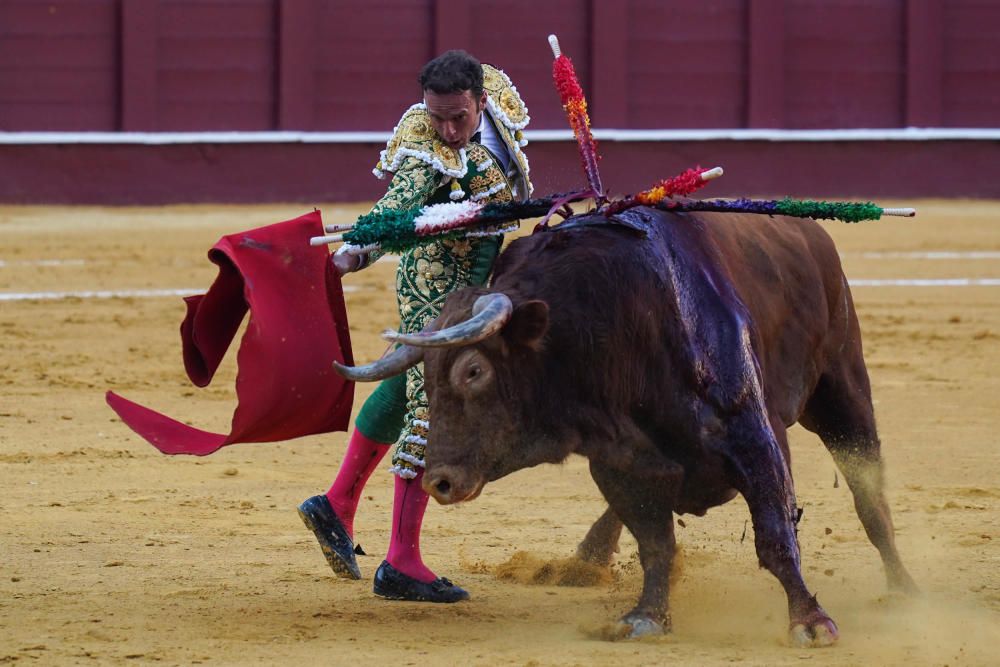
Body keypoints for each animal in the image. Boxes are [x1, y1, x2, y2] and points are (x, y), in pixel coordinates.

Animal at [336, 207, 916, 648]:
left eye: (474, 371)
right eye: (428, 377)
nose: (439, 481)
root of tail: (813, 233)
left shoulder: (752, 440)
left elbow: (775, 536)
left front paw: (811, 623)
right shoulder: (619, 461)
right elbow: (655, 542)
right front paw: (646, 617)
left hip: (842, 386)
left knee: (869, 495)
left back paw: (903, 588)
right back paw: (583, 562)